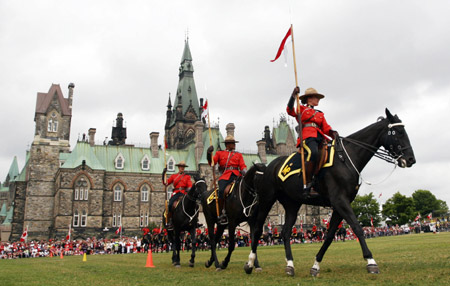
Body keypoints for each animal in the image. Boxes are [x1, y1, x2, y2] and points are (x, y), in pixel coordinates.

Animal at [244, 108, 416, 276]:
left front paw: (315, 266)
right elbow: (357, 227)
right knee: (258, 229)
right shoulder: (340, 201)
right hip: (267, 200)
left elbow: (329, 235)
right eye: (398, 132)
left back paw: (290, 265)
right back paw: (250, 263)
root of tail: (268, 165)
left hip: (292, 204)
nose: (411, 159)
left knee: (286, 232)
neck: (345, 159)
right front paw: (371, 262)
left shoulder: (340, 204)